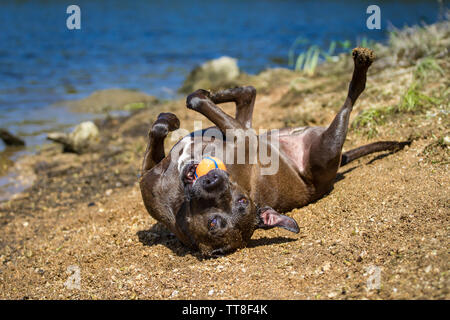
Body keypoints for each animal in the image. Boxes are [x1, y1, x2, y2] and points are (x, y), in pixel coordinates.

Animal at [139, 48, 410, 258]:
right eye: (213, 223)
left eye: (242, 200)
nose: (216, 179)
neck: (180, 200)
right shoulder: (149, 180)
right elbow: (161, 130)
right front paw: (169, 119)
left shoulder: (242, 138)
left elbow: (193, 102)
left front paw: (177, 113)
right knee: (248, 95)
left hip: (326, 146)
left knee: (352, 95)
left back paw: (361, 65)